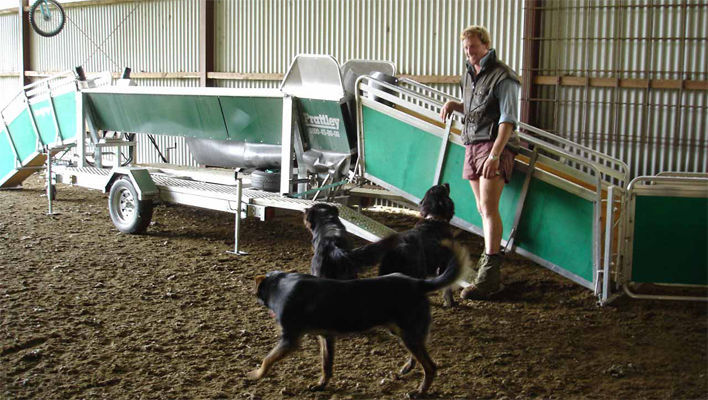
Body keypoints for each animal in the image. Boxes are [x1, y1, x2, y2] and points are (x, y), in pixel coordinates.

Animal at [246, 239, 472, 396]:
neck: (280, 284)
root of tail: (418, 283)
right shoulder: (326, 337)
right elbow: (326, 365)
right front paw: (321, 385)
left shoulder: (289, 339)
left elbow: (267, 359)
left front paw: (255, 375)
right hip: (406, 333)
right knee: (419, 357)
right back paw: (407, 368)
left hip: (408, 334)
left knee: (431, 367)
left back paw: (419, 392)